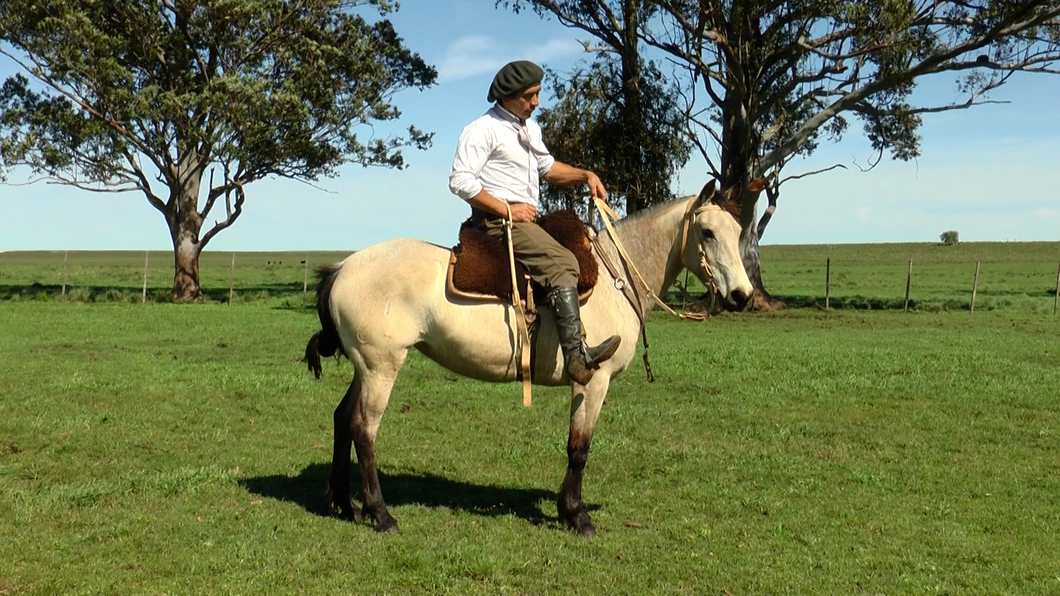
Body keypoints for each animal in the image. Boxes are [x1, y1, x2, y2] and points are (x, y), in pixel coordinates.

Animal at [307, 180, 754, 534]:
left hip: (365, 368)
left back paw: (346, 505)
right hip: (382, 367)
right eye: (708, 232)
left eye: (738, 231)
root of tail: (342, 268)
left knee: (343, 419)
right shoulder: (593, 380)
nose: (742, 296)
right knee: (364, 430)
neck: (616, 276)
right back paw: (381, 515)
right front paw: (577, 516)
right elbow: (579, 447)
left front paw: (566, 509)